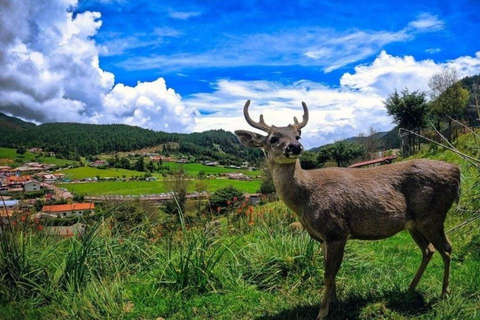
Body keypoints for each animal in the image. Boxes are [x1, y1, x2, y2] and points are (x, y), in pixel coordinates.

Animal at [234, 100, 460, 320]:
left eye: (298, 135)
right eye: (273, 138)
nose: (295, 146)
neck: (305, 199)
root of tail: (457, 172)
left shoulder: (336, 231)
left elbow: (328, 274)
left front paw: (322, 312)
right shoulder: (323, 238)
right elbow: (329, 274)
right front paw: (333, 302)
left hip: (433, 215)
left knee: (447, 248)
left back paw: (444, 293)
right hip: (413, 223)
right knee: (429, 250)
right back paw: (410, 289)